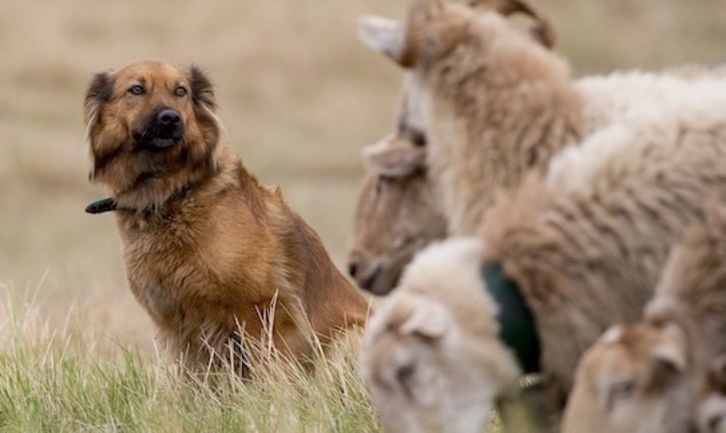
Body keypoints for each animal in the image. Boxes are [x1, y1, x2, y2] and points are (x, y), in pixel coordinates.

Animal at [84, 60, 370, 372]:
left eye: (180, 91)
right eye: (136, 90)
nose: (170, 119)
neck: (174, 192)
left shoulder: (261, 308)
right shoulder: (175, 323)